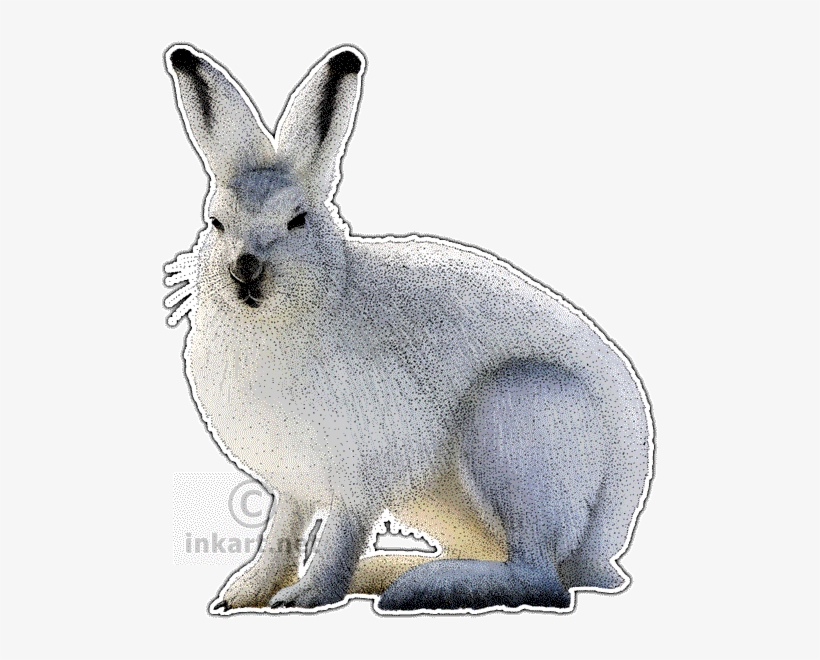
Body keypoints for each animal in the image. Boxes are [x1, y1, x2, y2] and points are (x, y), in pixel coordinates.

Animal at [163, 43, 653, 614]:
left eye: (297, 220)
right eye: (216, 223)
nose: (245, 268)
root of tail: (602, 546)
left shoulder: (360, 472)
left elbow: (340, 535)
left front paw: (305, 595)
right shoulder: (294, 482)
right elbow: (281, 532)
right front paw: (245, 592)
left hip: (517, 419)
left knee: (540, 577)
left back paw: (421, 588)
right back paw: (391, 572)